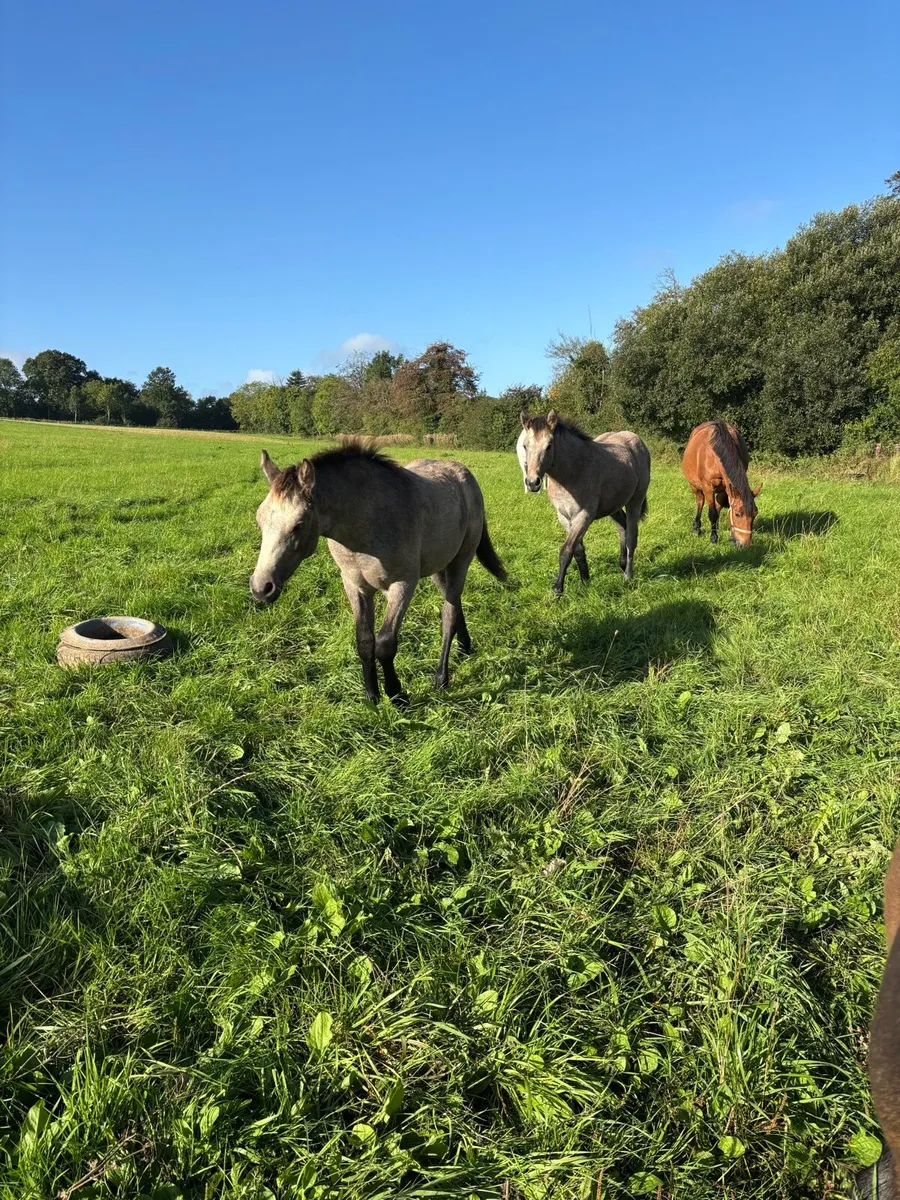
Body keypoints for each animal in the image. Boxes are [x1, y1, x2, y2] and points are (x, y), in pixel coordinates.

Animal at [249, 442, 507, 704]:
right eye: (259, 519)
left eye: (298, 525)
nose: (261, 587)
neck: (369, 522)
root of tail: (464, 475)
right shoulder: (355, 586)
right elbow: (365, 641)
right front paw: (371, 696)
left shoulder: (403, 584)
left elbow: (385, 643)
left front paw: (396, 695)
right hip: (437, 567)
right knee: (453, 602)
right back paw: (464, 646)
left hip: (460, 561)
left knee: (449, 614)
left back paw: (441, 678)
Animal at [518, 410, 651, 593]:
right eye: (525, 446)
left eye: (549, 445)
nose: (532, 483)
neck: (573, 472)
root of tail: (637, 441)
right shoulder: (564, 517)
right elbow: (578, 551)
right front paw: (585, 582)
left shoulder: (584, 516)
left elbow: (566, 550)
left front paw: (557, 589)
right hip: (613, 506)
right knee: (622, 527)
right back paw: (622, 564)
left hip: (635, 501)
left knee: (631, 536)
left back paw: (628, 576)